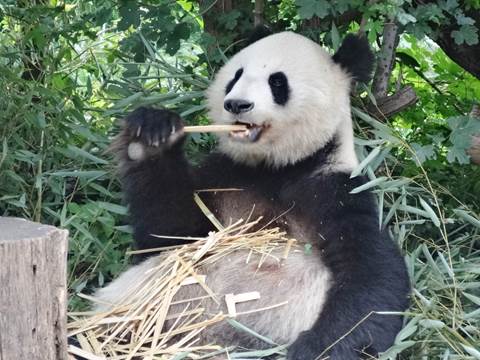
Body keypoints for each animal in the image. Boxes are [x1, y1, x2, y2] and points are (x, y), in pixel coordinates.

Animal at [95, 30, 410, 360]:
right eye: (236, 76)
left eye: (278, 82)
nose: (236, 104)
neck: (275, 168)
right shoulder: (226, 179)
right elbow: (171, 236)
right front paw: (151, 135)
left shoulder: (334, 191)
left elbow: (372, 274)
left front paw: (314, 349)